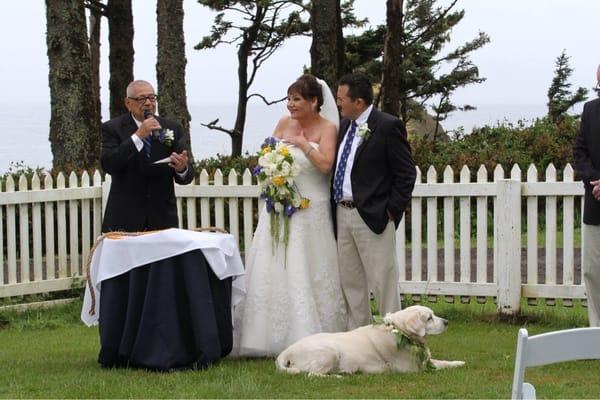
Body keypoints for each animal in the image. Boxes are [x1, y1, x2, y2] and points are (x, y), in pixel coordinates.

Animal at [276, 306, 464, 376]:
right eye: (429, 318)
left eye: (434, 315)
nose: (447, 322)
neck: (399, 330)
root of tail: (286, 351)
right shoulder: (413, 369)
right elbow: (439, 366)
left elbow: (442, 361)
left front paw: (458, 362)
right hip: (329, 352)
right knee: (312, 374)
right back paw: (338, 376)